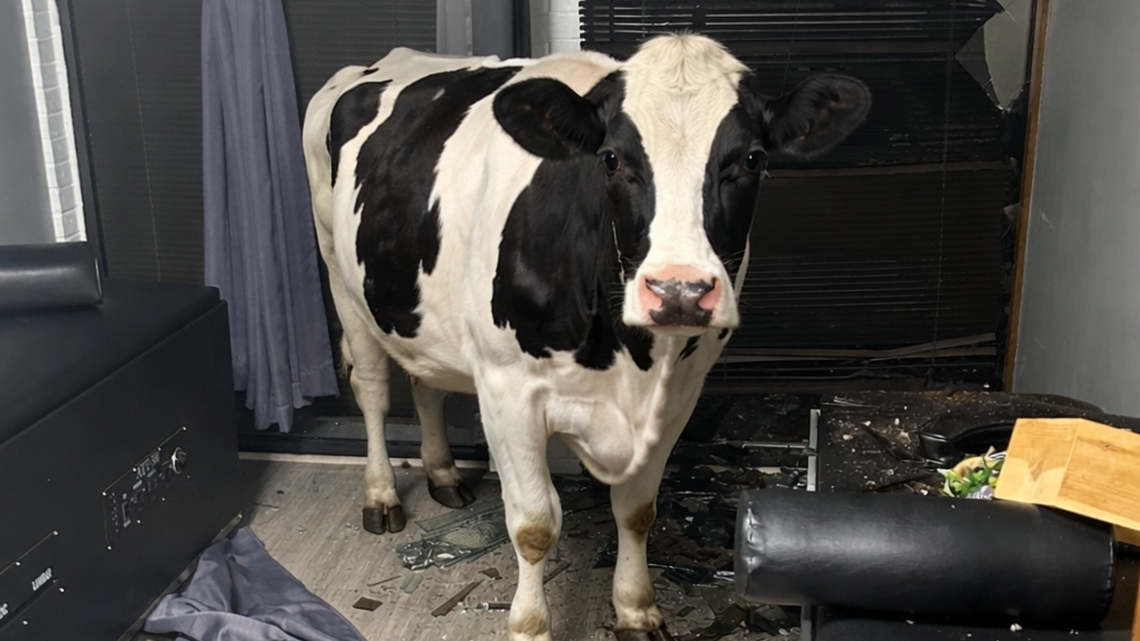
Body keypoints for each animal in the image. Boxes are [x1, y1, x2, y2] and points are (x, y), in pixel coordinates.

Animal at [302, 34, 869, 641]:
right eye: (612, 158)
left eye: (753, 159)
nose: (679, 291)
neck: (630, 363)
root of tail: (387, 61)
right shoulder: (507, 391)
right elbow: (533, 525)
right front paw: (530, 626)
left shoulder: (680, 394)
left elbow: (637, 512)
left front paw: (636, 609)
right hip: (339, 272)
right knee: (374, 391)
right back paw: (382, 494)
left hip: (417, 306)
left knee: (425, 381)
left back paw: (443, 472)